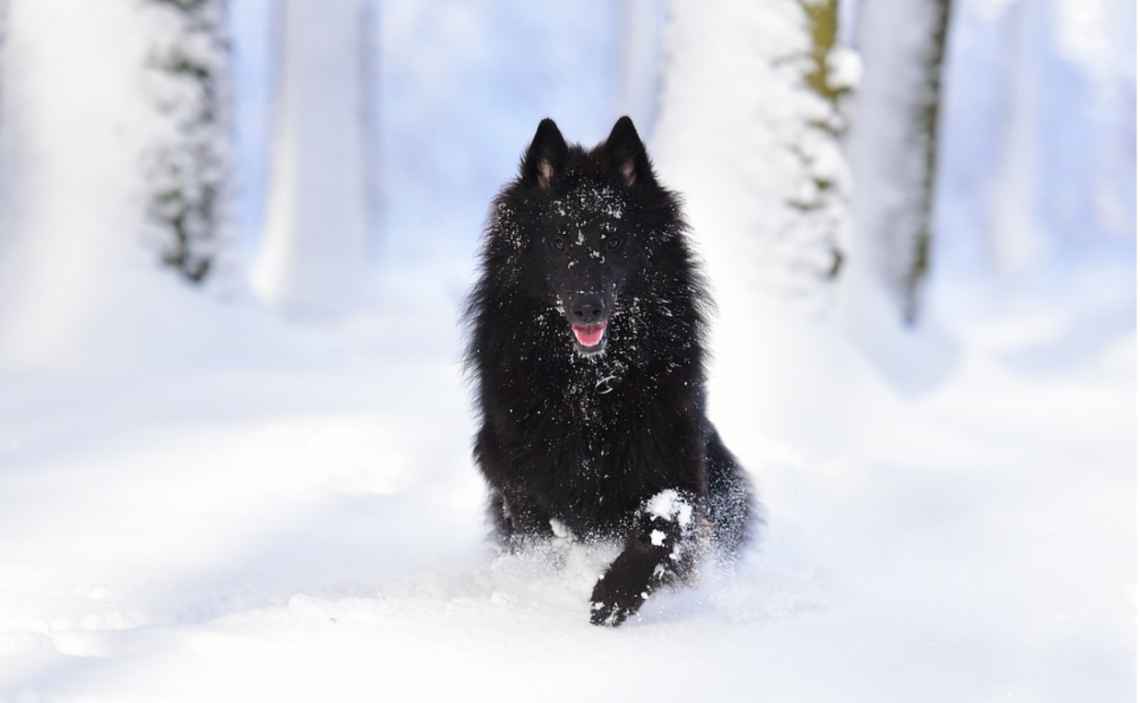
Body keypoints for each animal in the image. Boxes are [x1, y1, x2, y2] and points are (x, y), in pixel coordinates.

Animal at [465, 115, 756, 624]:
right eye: (560, 239)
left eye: (614, 239)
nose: (587, 307)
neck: (589, 382)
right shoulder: (506, 456)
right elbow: (535, 522)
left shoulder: (675, 460)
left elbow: (661, 529)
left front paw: (615, 594)